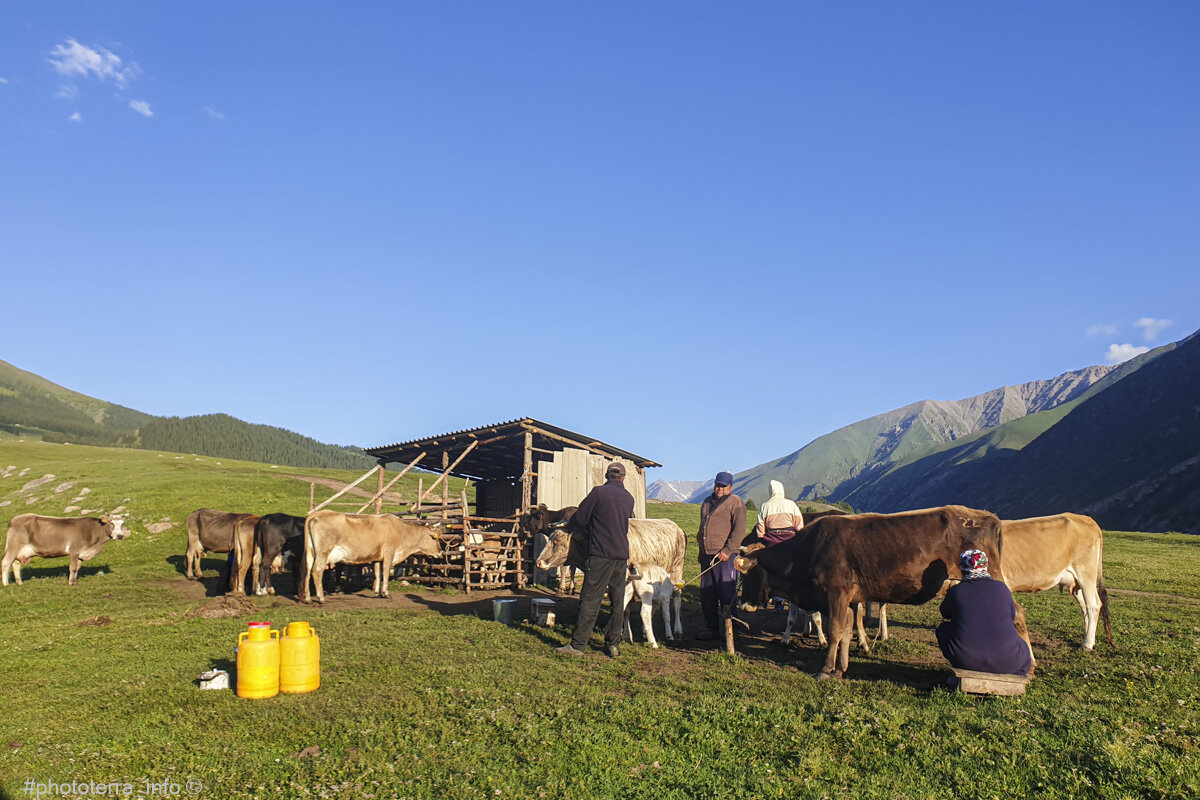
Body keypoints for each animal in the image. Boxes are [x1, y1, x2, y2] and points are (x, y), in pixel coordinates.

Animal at [1, 515, 130, 585]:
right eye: (111, 523)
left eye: (122, 524)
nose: (119, 536)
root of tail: (14, 519)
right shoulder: (74, 550)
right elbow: (72, 568)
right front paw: (71, 583)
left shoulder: (81, 553)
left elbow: (77, 568)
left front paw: (75, 581)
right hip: (13, 546)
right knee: (6, 563)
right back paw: (6, 584)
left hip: (21, 551)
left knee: (15, 564)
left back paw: (19, 582)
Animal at [300, 510, 446, 604]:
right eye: (434, 538)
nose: (441, 552)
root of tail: (317, 513)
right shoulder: (389, 553)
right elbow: (385, 573)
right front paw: (386, 593)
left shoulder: (377, 557)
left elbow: (377, 573)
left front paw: (377, 593)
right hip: (323, 553)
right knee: (316, 571)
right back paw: (321, 598)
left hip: (311, 552)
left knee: (307, 571)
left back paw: (307, 598)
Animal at [734, 503, 1027, 681]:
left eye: (745, 573)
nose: (742, 603)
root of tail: (988, 516)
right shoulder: (849, 600)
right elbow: (847, 632)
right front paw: (841, 668)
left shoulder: (836, 595)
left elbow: (835, 631)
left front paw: (826, 669)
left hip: (995, 576)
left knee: (1019, 614)